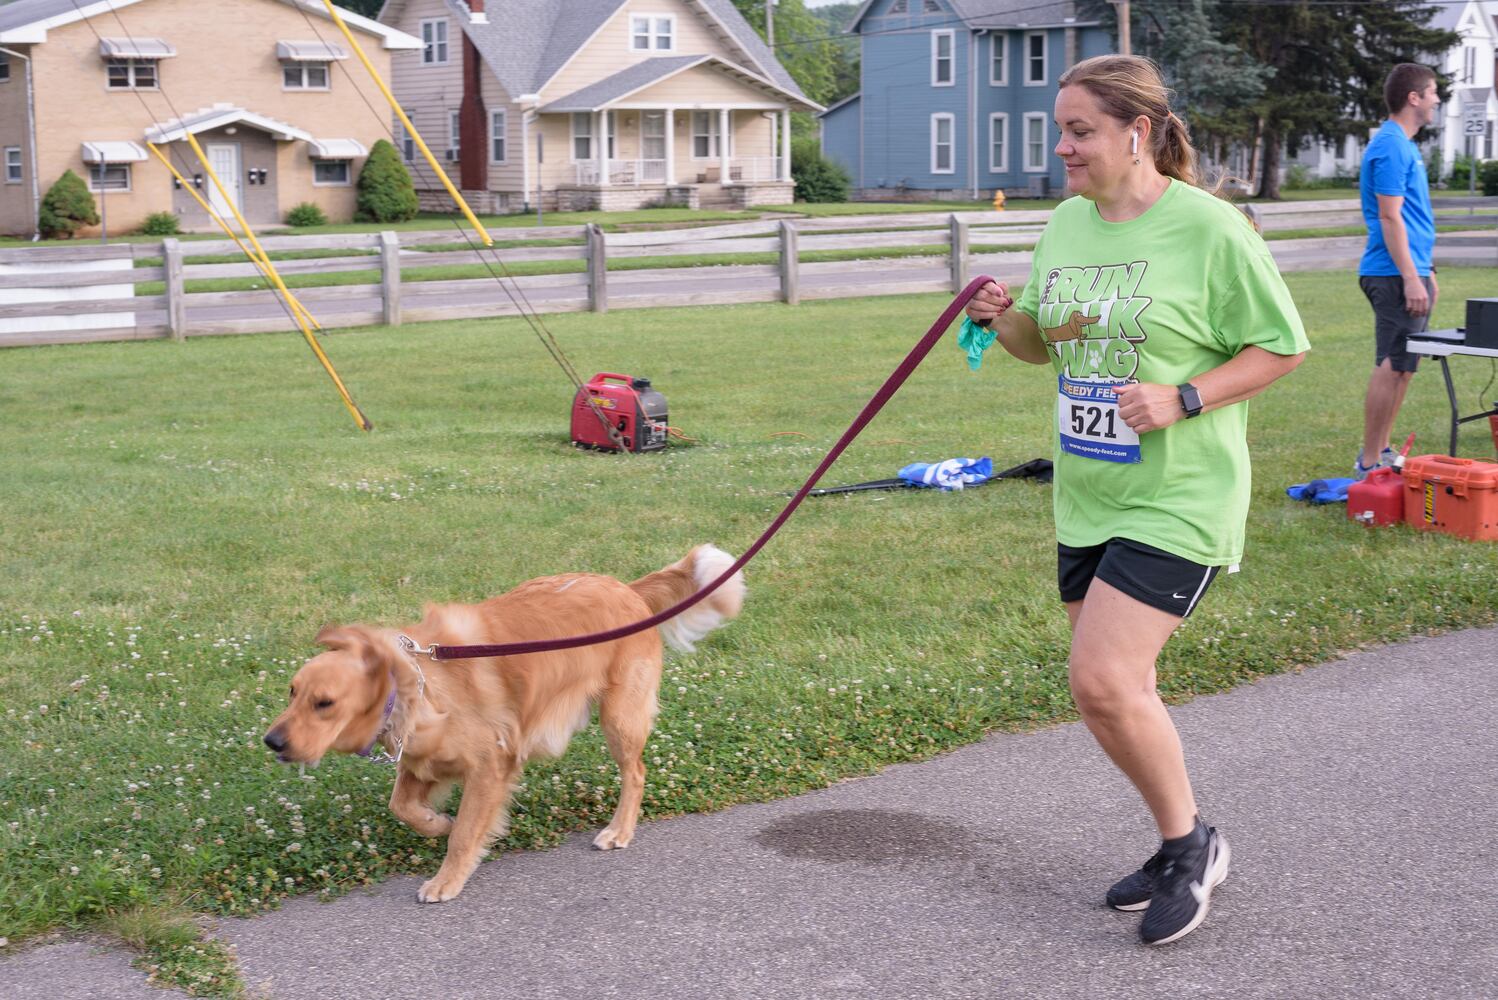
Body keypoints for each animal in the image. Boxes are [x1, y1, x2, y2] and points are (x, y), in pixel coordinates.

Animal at [266, 541, 746, 904]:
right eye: (292, 692)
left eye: (324, 703)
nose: (271, 741)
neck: (418, 685)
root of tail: (627, 590)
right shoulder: (421, 760)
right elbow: (402, 806)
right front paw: (436, 822)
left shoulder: (490, 765)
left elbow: (465, 835)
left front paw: (447, 877)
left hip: (619, 717)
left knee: (637, 773)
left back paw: (619, 829)